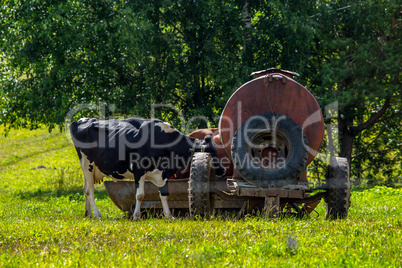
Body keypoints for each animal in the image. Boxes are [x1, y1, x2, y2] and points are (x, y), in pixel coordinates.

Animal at [70, 117, 226, 220]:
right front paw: (136, 216)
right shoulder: (138, 170)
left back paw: (88, 214)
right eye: (212, 154)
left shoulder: (163, 173)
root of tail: (80, 120)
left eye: (216, 151)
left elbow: (164, 195)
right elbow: (140, 195)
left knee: (85, 189)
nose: (223, 170)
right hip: (87, 164)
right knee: (90, 191)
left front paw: (169, 216)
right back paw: (97, 215)